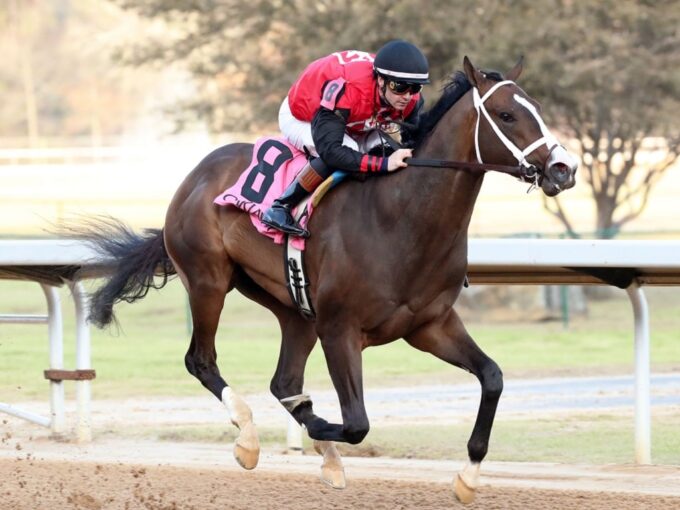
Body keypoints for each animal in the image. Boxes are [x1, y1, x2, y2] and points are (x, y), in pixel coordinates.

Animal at [82, 57, 576, 504]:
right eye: (508, 115)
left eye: (536, 107)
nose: (563, 169)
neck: (401, 218)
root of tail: (196, 176)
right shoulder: (340, 329)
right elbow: (356, 423)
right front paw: (318, 431)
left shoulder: (429, 325)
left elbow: (492, 377)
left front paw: (468, 477)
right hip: (209, 281)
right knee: (201, 361)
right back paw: (250, 438)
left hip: (292, 307)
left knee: (283, 382)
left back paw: (320, 448)